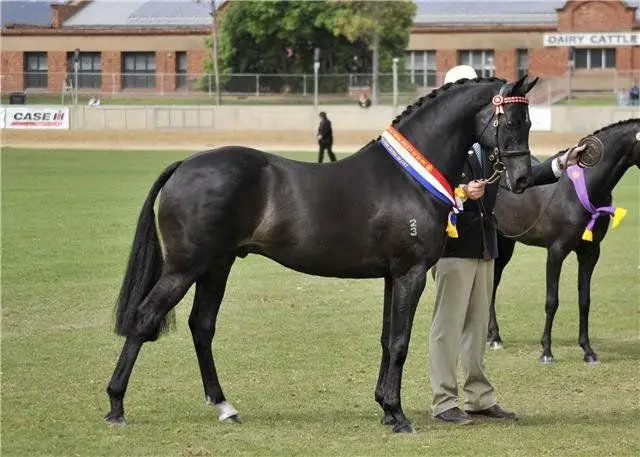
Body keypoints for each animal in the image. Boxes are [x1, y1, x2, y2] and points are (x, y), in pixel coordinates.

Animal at [107, 75, 536, 432]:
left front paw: (385, 407)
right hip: (184, 268)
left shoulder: (391, 276)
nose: (522, 180)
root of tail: (184, 165)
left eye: (528, 123)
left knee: (202, 326)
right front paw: (397, 416)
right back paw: (116, 406)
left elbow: (387, 339)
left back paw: (224, 406)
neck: (408, 178)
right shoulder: (410, 273)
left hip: (217, 265)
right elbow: (400, 342)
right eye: (513, 122)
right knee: (144, 319)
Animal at [490, 117, 640, 364]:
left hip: (506, 244)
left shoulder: (590, 252)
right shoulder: (556, 251)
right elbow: (552, 301)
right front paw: (546, 352)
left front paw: (588, 351)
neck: (580, 189)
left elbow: (584, 300)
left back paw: (492, 336)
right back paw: (493, 338)